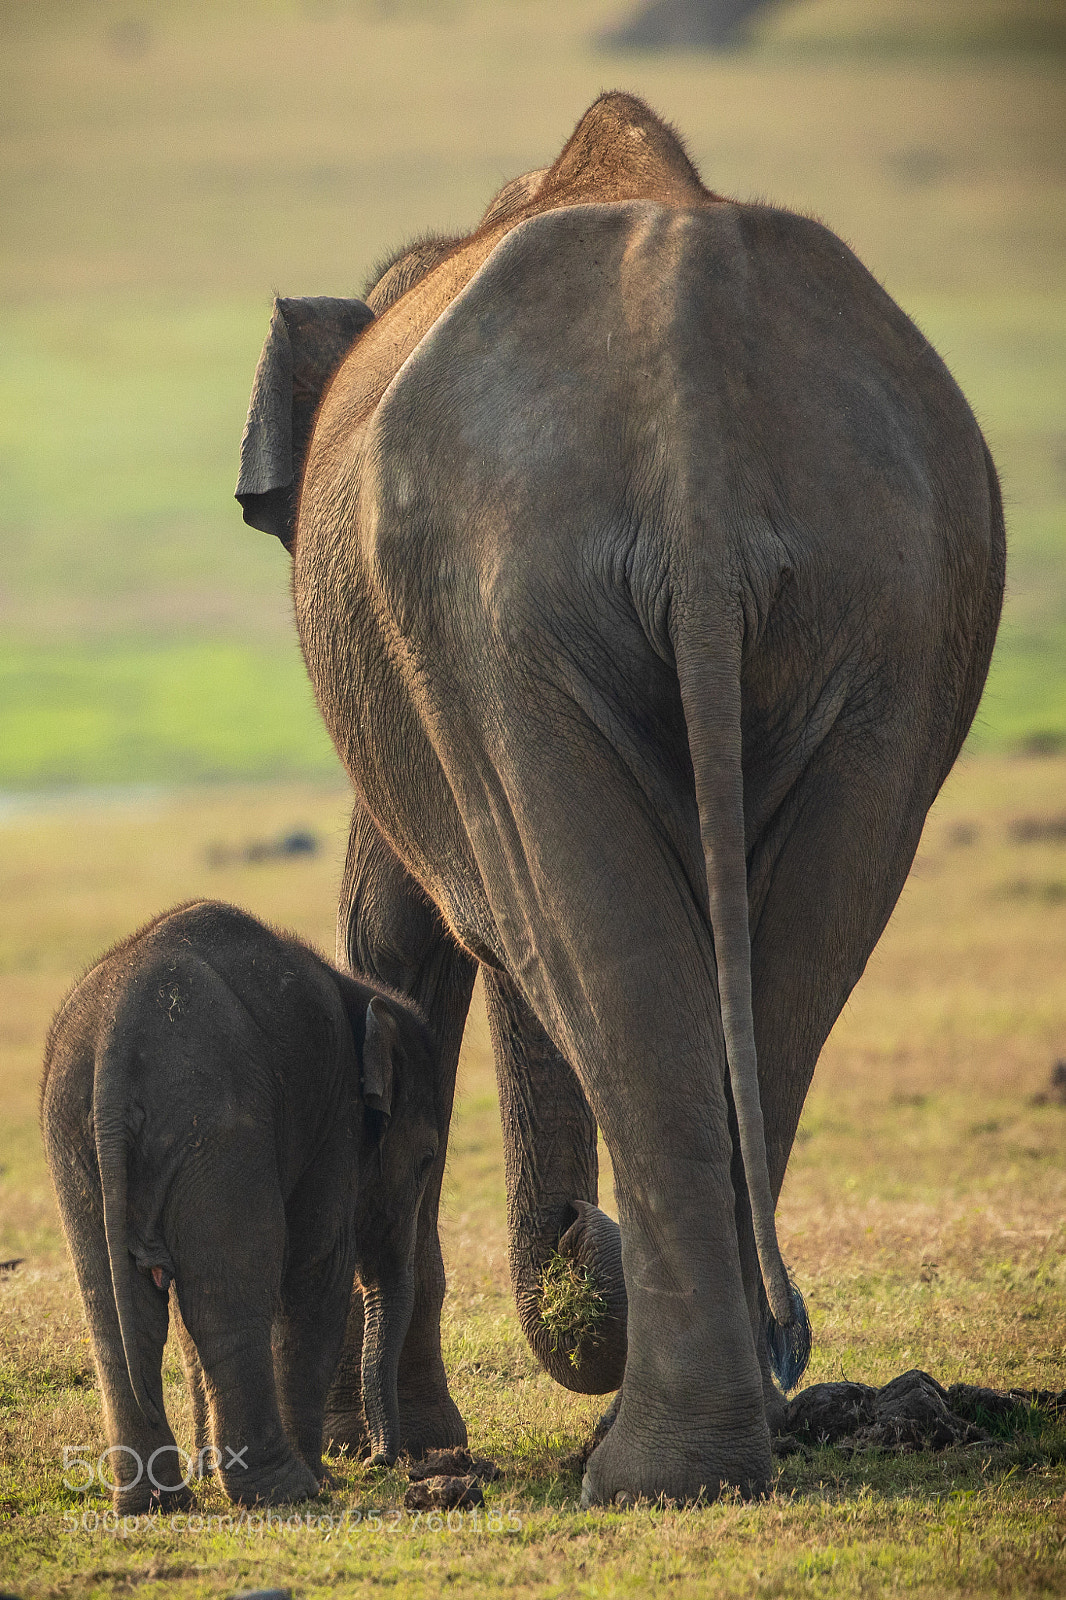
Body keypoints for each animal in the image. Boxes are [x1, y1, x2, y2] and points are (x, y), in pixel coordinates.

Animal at [40, 900, 440, 1510]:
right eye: (425, 1162)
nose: (381, 1460)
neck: (359, 995)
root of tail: (114, 1048)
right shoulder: (334, 1116)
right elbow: (317, 1267)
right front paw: (321, 1479)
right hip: (219, 1131)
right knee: (226, 1303)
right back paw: (285, 1490)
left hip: (76, 1142)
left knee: (119, 1316)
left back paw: (157, 1503)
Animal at [235, 92, 1005, 1504]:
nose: (578, 1234)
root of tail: (690, 369)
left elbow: (398, 944)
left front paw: (387, 1445)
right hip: (889, 608)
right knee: (783, 969)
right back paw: (692, 1447)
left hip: (505, 611)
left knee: (593, 955)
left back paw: (648, 1469)